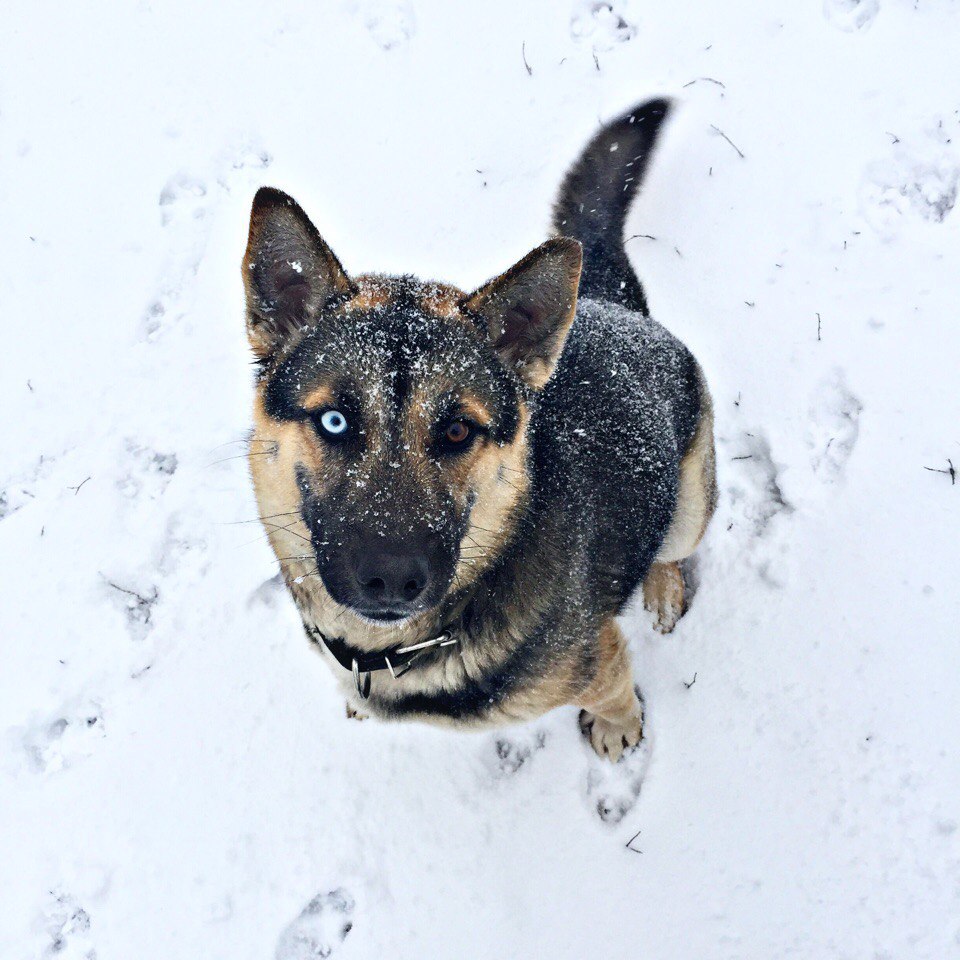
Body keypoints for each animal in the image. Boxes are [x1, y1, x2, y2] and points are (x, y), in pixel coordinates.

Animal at [244, 95, 716, 756]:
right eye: (334, 420)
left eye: (458, 432)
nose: (390, 580)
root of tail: (609, 303)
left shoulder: (597, 661)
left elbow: (613, 690)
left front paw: (618, 728)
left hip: (688, 506)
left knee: (673, 546)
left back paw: (662, 589)